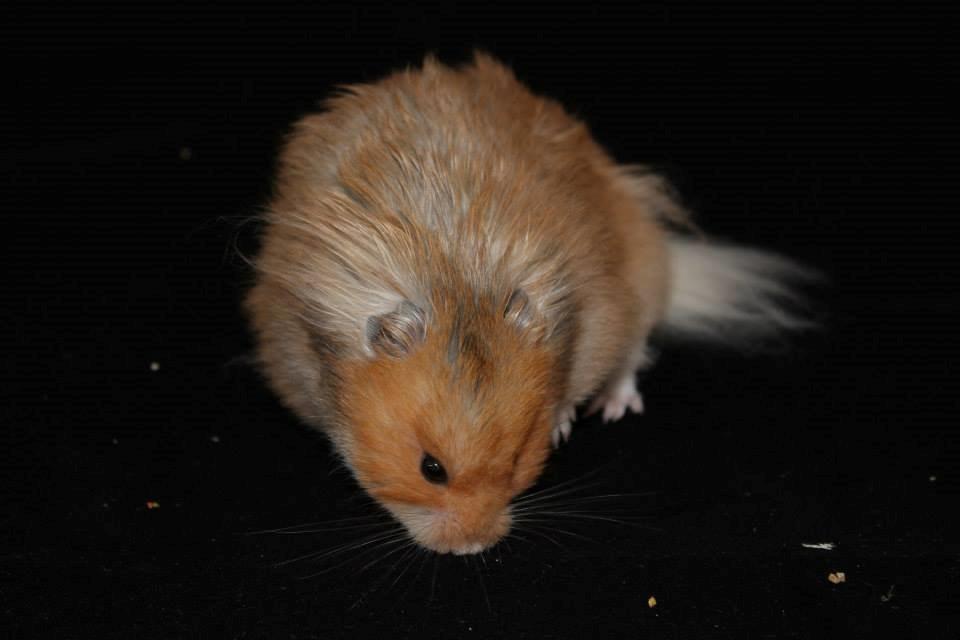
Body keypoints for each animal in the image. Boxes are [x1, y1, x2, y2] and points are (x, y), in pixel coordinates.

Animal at [244, 53, 814, 555]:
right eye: (431, 469)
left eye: (518, 458)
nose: (473, 548)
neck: (457, 286)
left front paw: (563, 423)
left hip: (639, 273)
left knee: (632, 353)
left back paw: (614, 408)